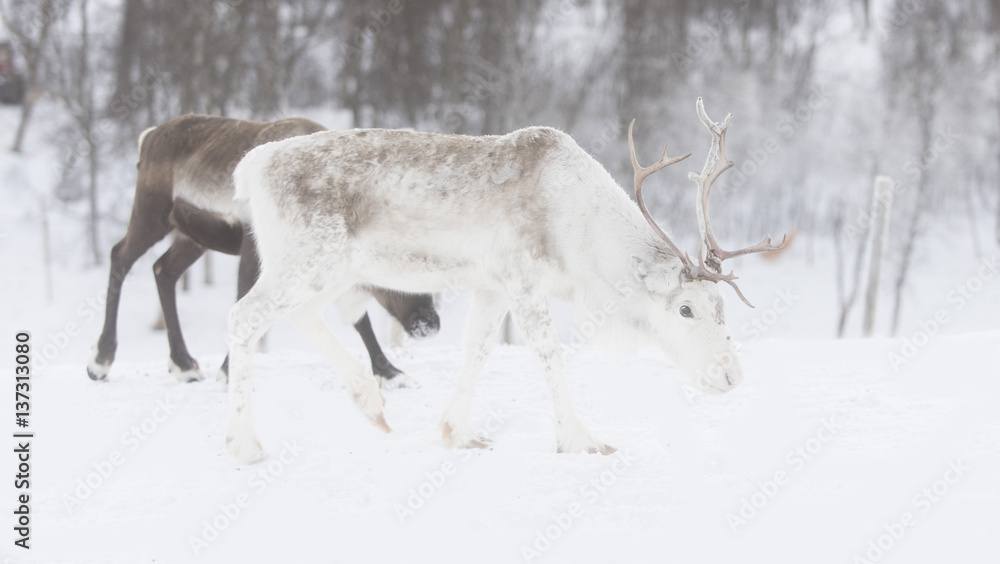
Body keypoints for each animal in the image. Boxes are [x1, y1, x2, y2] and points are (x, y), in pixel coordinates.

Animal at [87, 114, 440, 387]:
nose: (430, 324)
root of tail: (148, 136)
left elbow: (358, 318)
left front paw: (389, 371)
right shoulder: (253, 247)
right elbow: (245, 301)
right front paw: (228, 371)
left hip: (192, 237)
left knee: (163, 270)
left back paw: (184, 364)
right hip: (151, 213)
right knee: (120, 256)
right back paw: (100, 361)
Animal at [223, 99, 786, 463]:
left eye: (722, 308)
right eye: (685, 308)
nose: (732, 375)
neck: (583, 253)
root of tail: (249, 167)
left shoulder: (492, 284)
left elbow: (477, 347)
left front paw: (458, 432)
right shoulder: (523, 277)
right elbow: (549, 353)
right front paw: (581, 440)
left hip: (327, 268)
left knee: (301, 315)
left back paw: (370, 402)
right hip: (308, 258)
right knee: (245, 315)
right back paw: (245, 445)